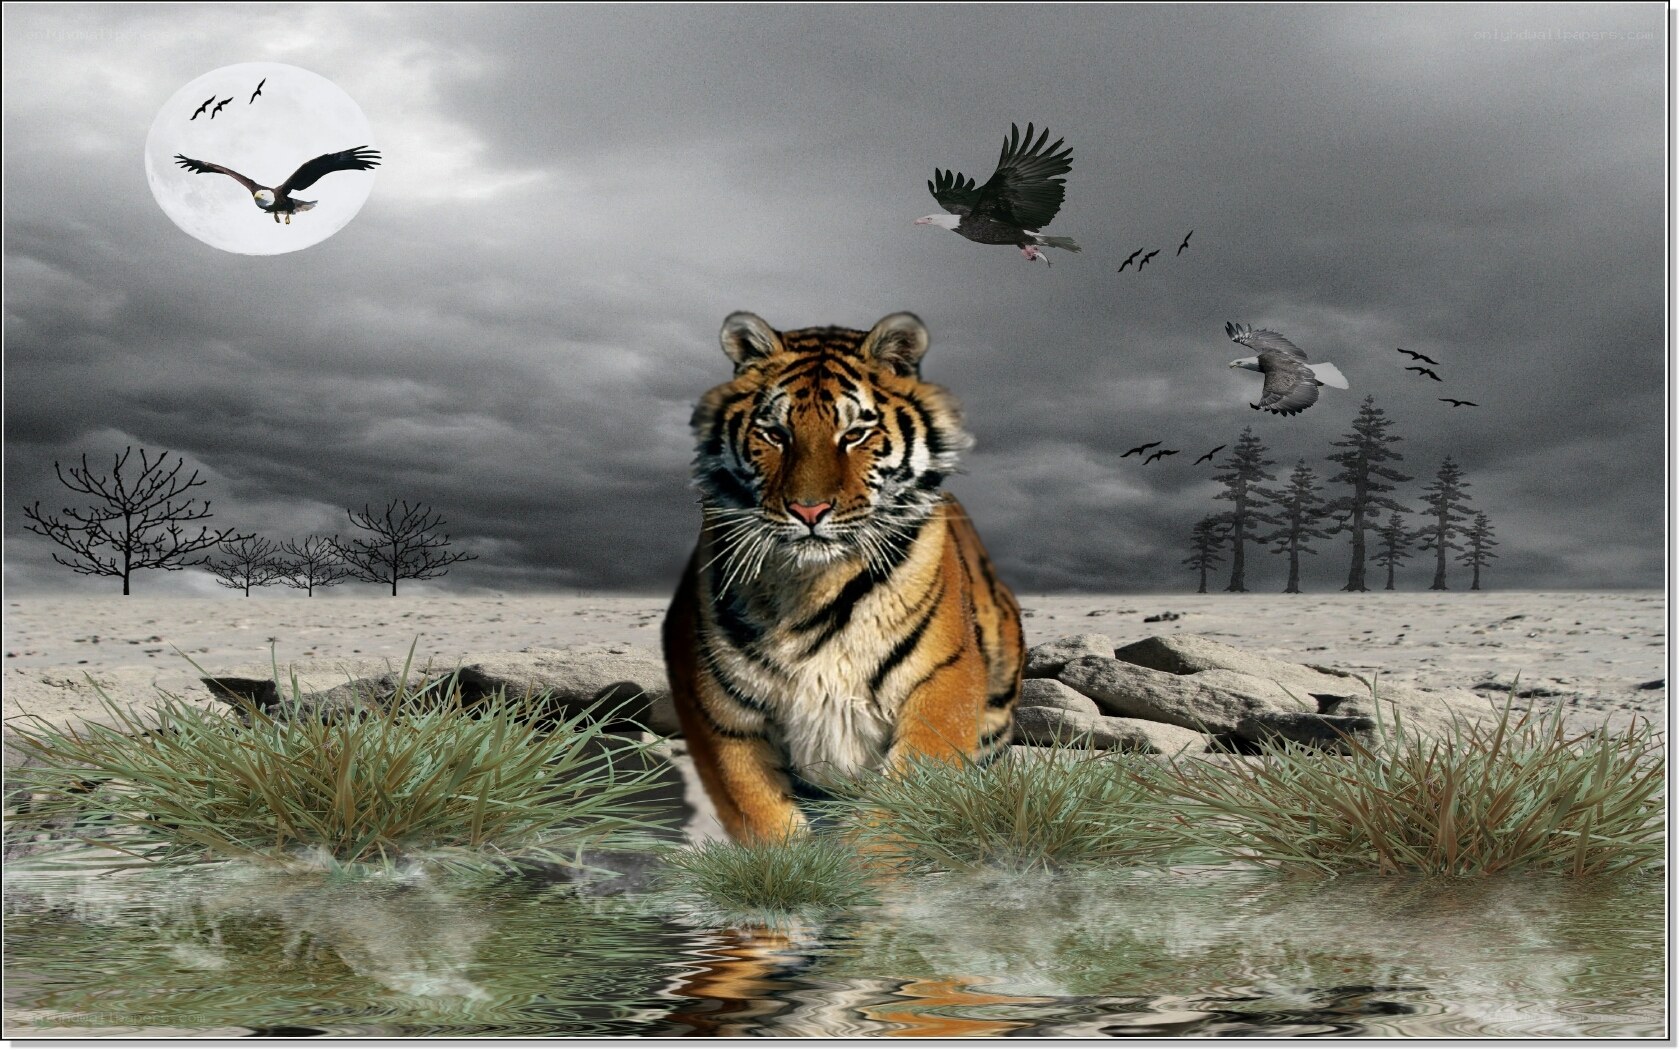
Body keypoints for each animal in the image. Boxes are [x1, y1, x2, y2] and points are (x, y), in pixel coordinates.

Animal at [662, 310, 1025, 843]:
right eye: (776, 434)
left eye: (854, 434)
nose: (809, 510)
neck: (812, 587)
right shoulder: (717, 707)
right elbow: (761, 815)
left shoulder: (942, 681)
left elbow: (903, 810)